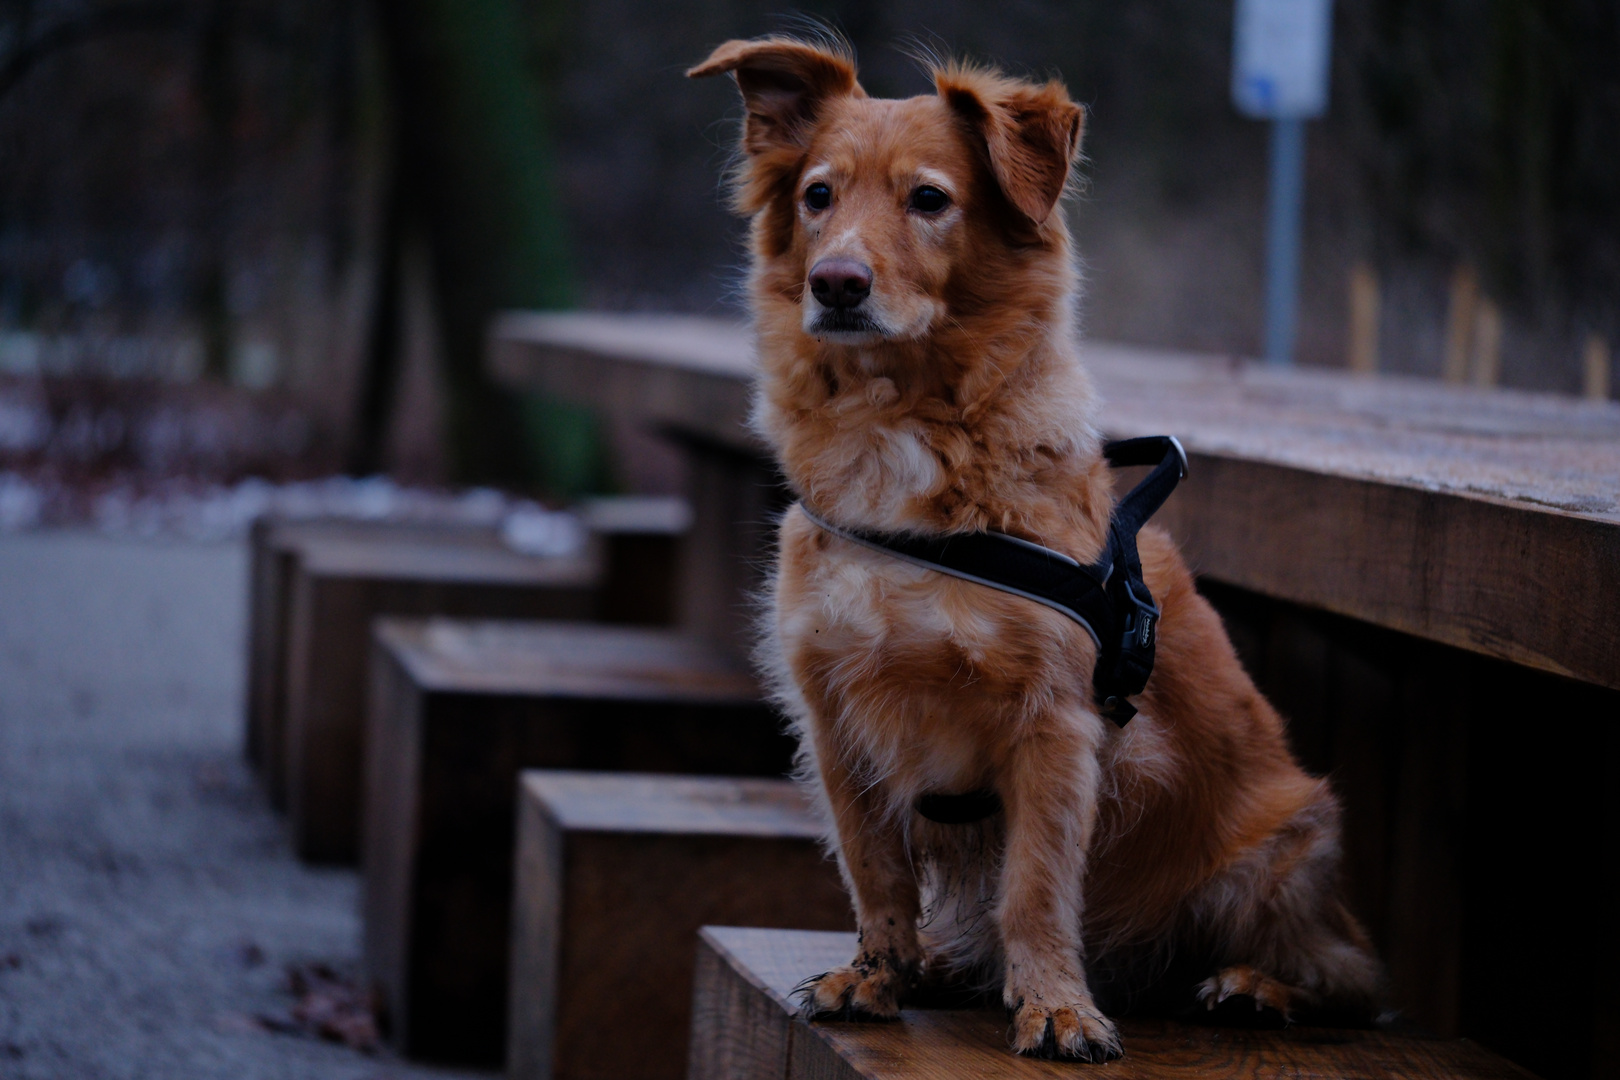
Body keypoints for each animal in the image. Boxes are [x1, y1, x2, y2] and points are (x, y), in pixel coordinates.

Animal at [690, 35, 1386, 1062]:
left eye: (929, 199)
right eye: (818, 195)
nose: (837, 283)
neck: (900, 436)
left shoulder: (1054, 725)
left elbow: (1035, 886)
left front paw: (1057, 1004)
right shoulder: (835, 719)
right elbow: (877, 870)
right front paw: (879, 971)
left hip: (1273, 854)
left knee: (1354, 982)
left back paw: (1254, 988)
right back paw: (946, 963)